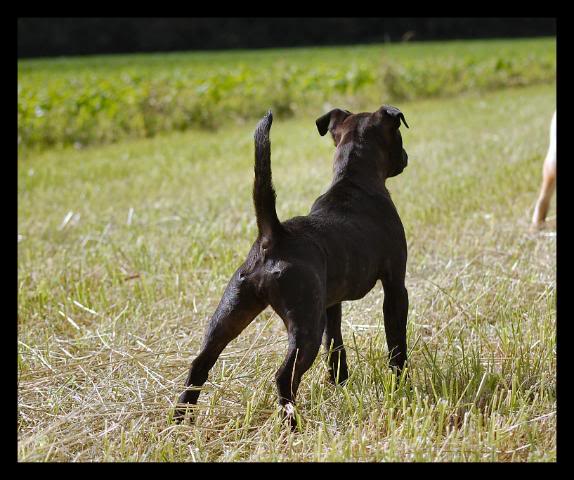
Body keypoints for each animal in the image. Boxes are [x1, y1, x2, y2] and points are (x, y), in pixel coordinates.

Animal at [174, 107, 410, 430]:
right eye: (399, 136)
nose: (406, 157)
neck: (352, 181)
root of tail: (273, 237)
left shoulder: (331, 303)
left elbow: (335, 344)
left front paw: (339, 383)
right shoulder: (395, 286)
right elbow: (396, 342)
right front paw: (401, 383)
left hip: (231, 312)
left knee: (199, 363)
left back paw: (179, 421)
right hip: (305, 326)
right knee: (285, 376)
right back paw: (292, 425)